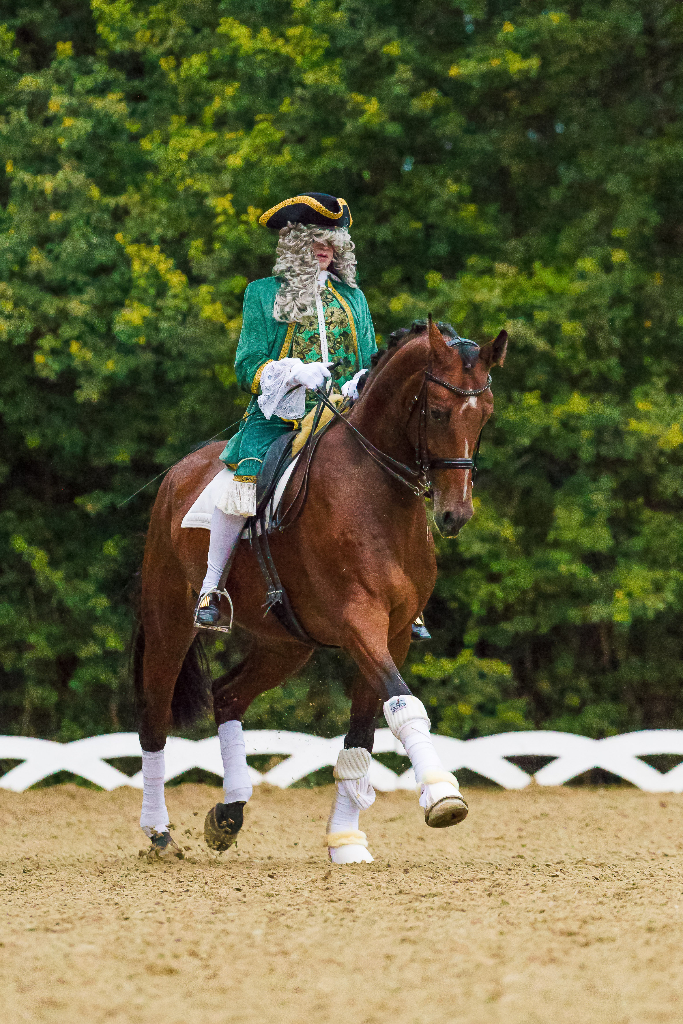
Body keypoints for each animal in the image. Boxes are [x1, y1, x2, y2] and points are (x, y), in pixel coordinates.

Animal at [135, 318, 508, 861]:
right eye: (437, 411)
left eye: (486, 416)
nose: (454, 515)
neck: (378, 495)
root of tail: (177, 476)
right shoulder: (359, 624)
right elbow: (404, 706)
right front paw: (442, 795)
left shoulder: (394, 634)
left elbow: (364, 732)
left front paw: (346, 839)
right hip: (169, 624)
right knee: (154, 717)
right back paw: (160, 833)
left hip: (287, 644)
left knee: (227, 696)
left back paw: (229, 814)